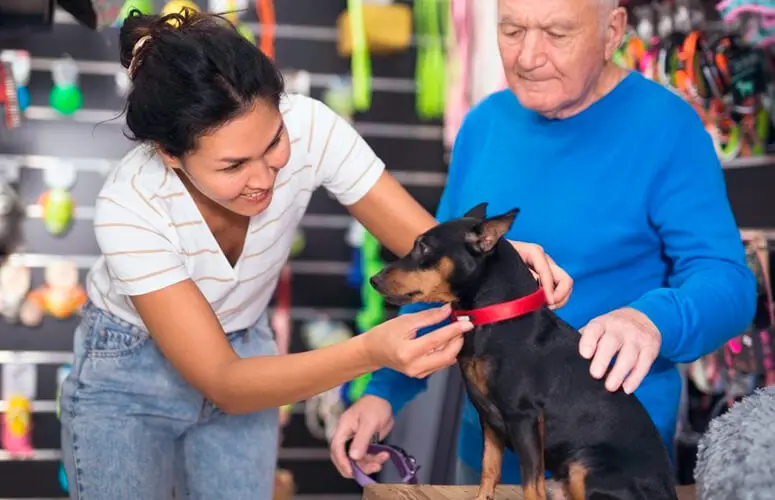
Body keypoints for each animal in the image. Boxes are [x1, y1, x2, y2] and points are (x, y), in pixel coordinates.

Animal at [370, 203, 680, 500]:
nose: (374, 279)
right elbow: (489, 469)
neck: (496, 318)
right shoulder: (489, 420)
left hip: (584, 466)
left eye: (424, 247)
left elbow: (531, 485)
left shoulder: (524, 419)